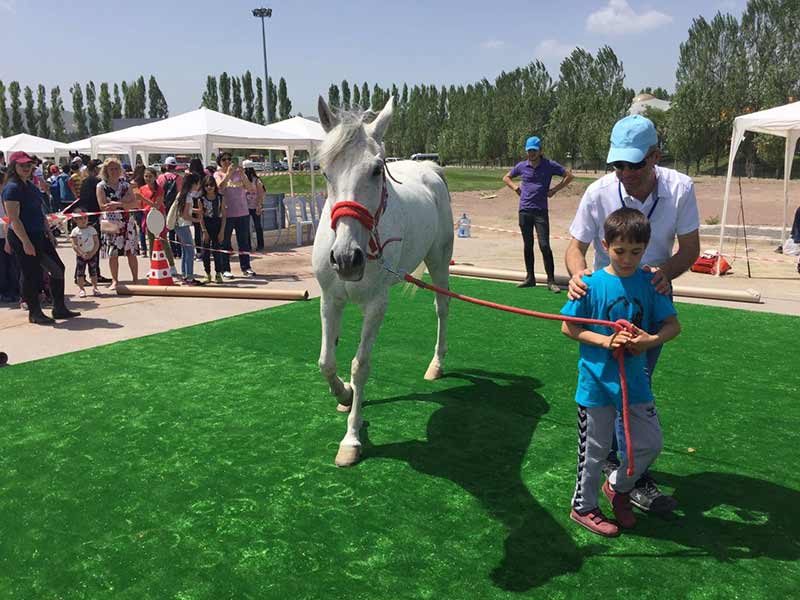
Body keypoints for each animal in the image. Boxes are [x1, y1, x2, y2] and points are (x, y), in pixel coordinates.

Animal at [310, 95, 454, 468]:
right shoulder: (330, 299)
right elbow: (326, 361)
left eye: (376, 170)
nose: (346, 259)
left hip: (439, 261)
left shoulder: (375, 304)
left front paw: (351, 438)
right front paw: (344, 395)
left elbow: (360, 365)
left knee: (442, 308)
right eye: (325, 171)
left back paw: (436, 364)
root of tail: (430, 169)